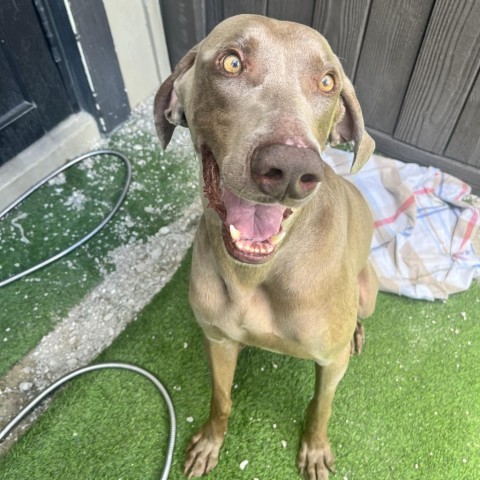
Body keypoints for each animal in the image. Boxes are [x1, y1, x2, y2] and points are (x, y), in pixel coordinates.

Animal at [154, 13, 378, 478]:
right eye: (231, 62)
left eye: (328, 82)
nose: (291, 168)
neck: (256, 273)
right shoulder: (217, 339)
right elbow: (220, 399)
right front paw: (210, 442)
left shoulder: (331, 362)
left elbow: (321, 407)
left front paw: (315, 450)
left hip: (368, 294)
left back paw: (357, 331)